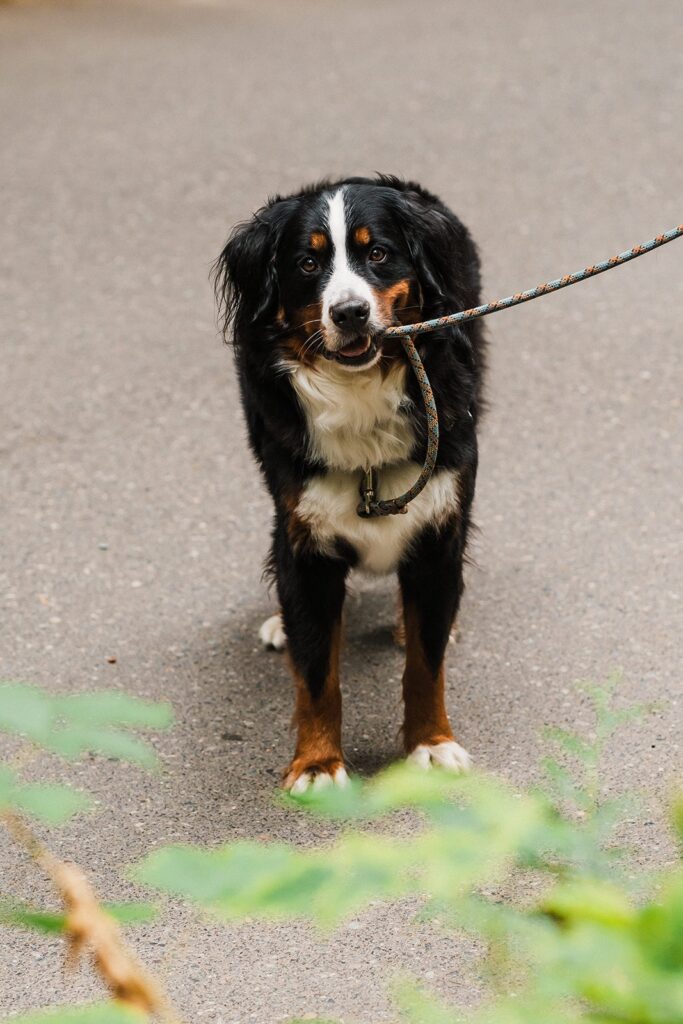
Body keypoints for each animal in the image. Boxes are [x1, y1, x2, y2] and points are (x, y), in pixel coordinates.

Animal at [215, 176, 485, 794]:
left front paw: (431, 743)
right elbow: (317, 672)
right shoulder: (305, 540)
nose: (350, 313)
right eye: (308, 263)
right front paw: (317, 764)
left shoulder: (440, 526)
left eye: (378, 253)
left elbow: (426, 663)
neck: (362, 396)